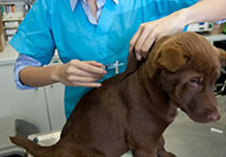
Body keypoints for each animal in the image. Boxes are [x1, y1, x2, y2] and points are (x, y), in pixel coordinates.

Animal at [9, 32, 225, 157]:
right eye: (194, 81)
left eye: (215, 79)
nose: (217, 116)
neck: (154, 90)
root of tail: (57, 147)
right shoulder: (143, 140)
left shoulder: (153, 135)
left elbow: (161, 142)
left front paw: (166, 154)